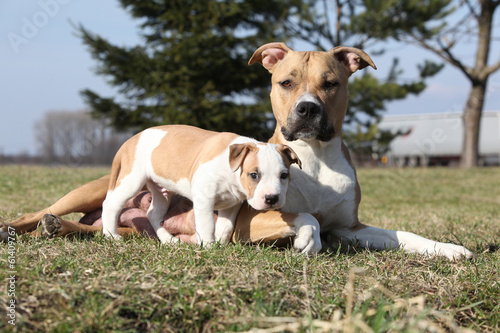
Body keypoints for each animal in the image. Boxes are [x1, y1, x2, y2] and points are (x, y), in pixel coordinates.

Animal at [99, 124, 298, 244]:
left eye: (284, 175)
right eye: (254, 175)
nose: (272, 198)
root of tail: (129, 141)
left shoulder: (232, 204)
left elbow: (226, 226)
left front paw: (220, 245)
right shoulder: (204, 198)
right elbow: (207, 224)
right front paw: (209, 246)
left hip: (161, 191)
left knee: (152, 214)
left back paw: (169, 241)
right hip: (132, 180)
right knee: (110, 204)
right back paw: (112, 236)